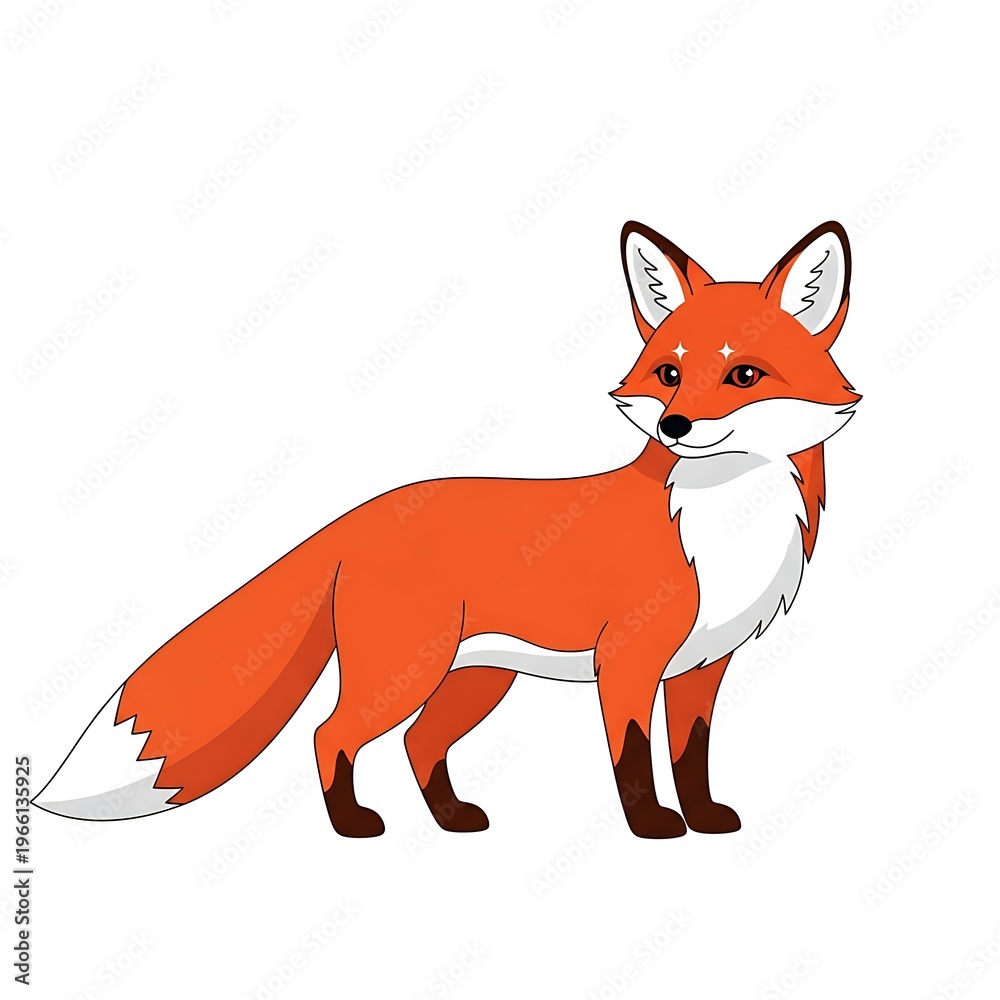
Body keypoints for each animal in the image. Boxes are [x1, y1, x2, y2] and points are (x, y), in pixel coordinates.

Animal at [34, 220, 859, 839]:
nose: (675, 425)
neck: (721, 527)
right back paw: (354, 826)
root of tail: (361, 512)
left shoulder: (700, 667)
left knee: (416, 742)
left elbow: (691, 758)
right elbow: (632, 757)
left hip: (473, 679)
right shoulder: (629, 659)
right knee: (331, 735)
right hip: (406, 672)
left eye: (744, 375)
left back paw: (452, 819)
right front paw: (653, 826)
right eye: (669, 374)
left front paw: (705, 818)